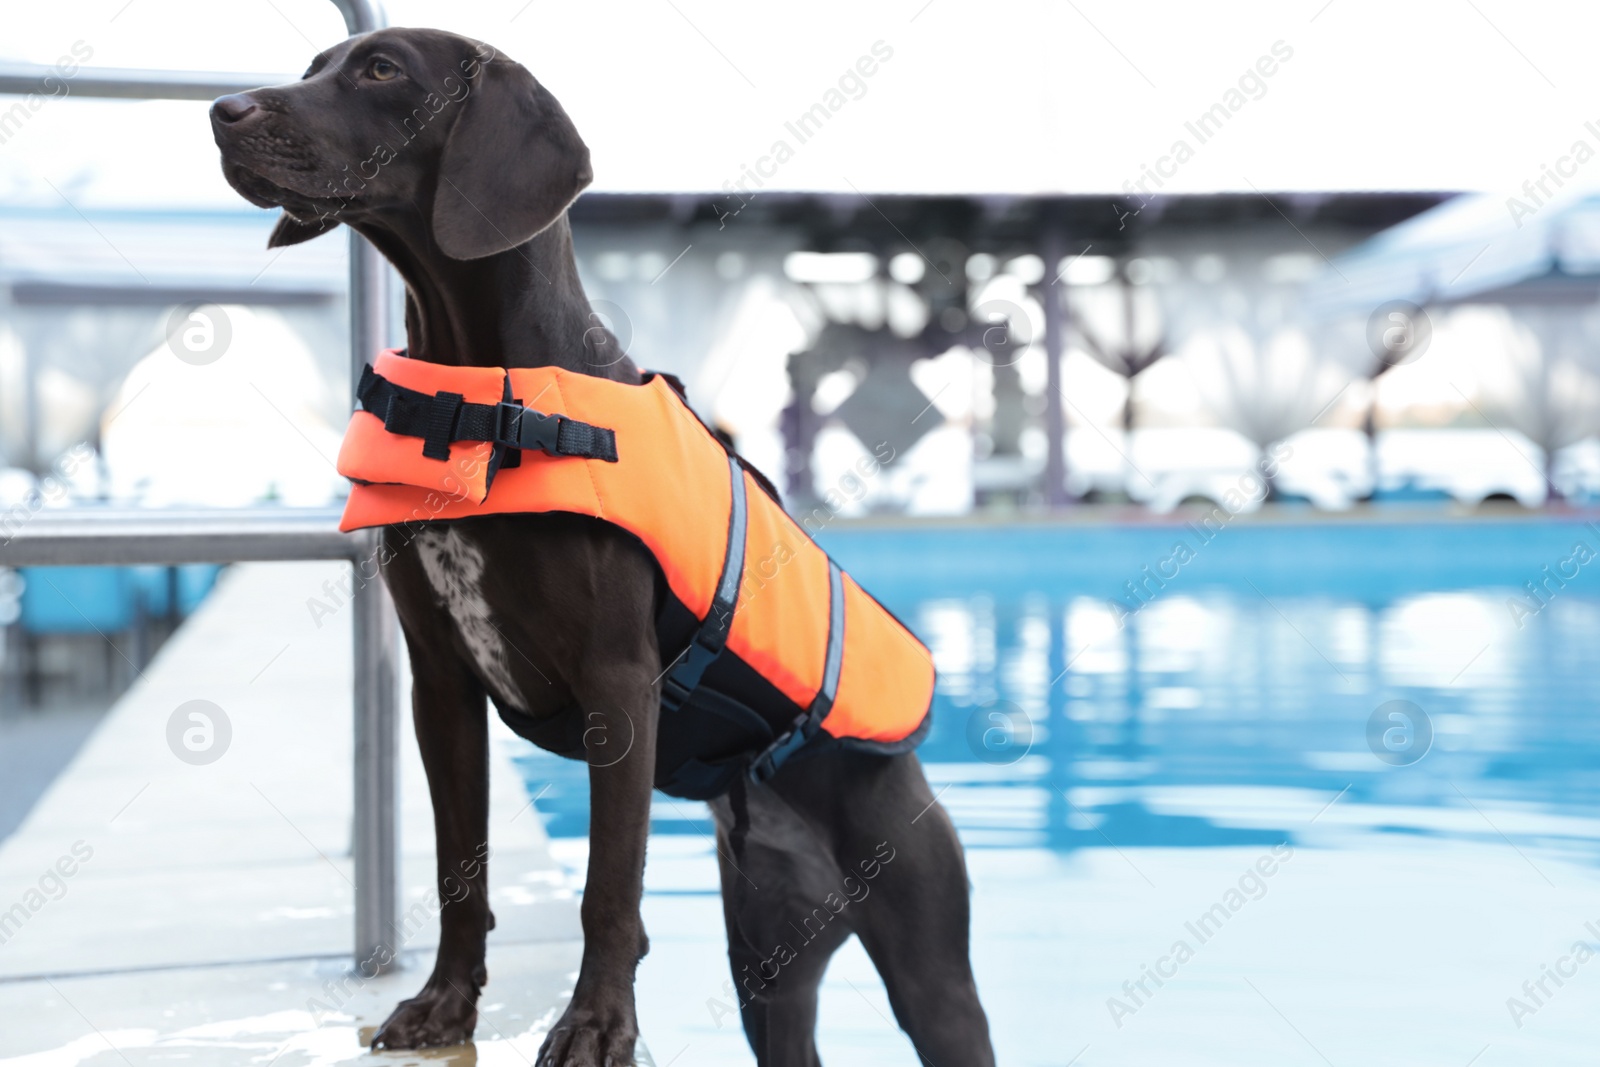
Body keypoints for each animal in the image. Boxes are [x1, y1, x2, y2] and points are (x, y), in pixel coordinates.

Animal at [212, 29, 985, 1062]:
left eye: (382, 70)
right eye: (314, 67)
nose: (222, 112)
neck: (481, 392)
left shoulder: (618, 680)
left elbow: (608, 888)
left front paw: (596, 1024)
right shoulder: (441, 681)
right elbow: (460, 867)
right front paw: (446, 1003)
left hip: (931, 971)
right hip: (769, 974)